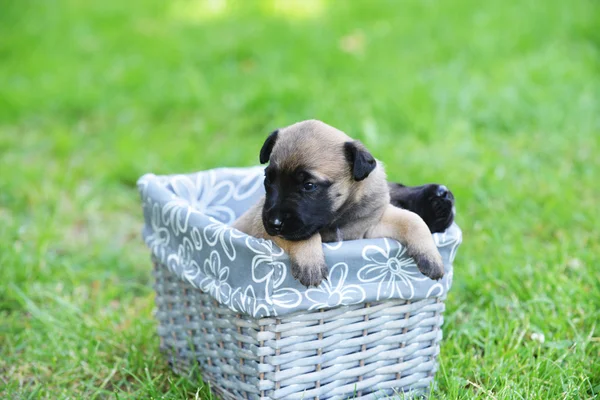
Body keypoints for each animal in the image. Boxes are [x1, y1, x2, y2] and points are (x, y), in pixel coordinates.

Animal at [232, 119, 442, 288]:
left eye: (309, 186)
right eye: (268, 180)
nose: (274, 223)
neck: (337, 218)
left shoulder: (372, 226)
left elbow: (413, 220)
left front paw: (431, 256)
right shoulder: (263, 229)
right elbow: (301, 236)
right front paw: (310, 261)